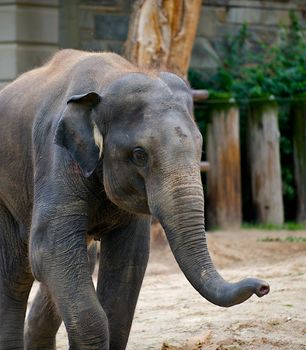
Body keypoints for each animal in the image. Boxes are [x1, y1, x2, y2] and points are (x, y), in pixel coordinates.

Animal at [0, 50, 268, 350]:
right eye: (139, 155)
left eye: (200, 147)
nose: (263, 287)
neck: (109, 79)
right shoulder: (56, 156)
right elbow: (49, 247)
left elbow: (129, 259)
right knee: (16, 272)